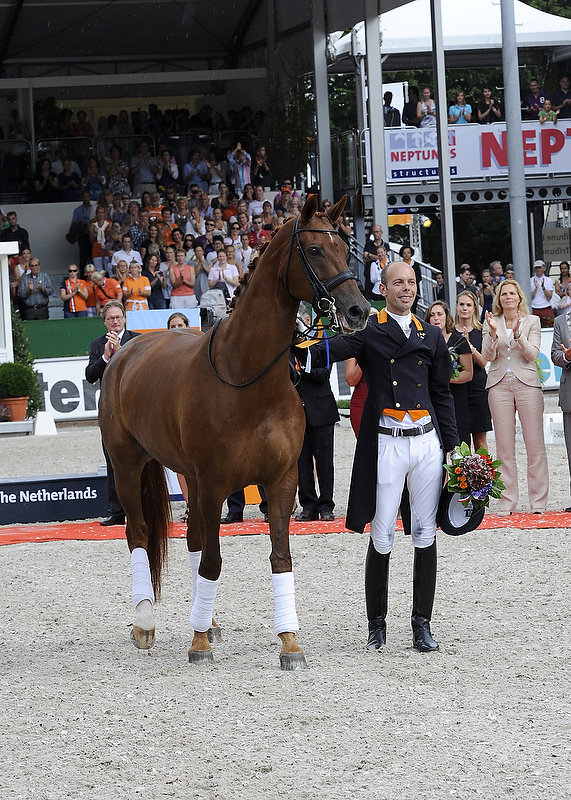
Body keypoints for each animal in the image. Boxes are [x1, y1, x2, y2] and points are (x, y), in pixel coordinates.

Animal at [98, 194, 370, 669]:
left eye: (345, 247)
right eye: (315, 250)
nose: (359, 310)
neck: (246, 377)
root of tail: (125, 349)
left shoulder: (281, 481)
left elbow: (279, 557)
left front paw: (288, 643)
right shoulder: (213, 484)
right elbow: (212, 562)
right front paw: (198, 644)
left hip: (185, 476)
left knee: (191, 538)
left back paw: (206, 620)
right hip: (129, 467)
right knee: (139, 534)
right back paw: (145, 622)